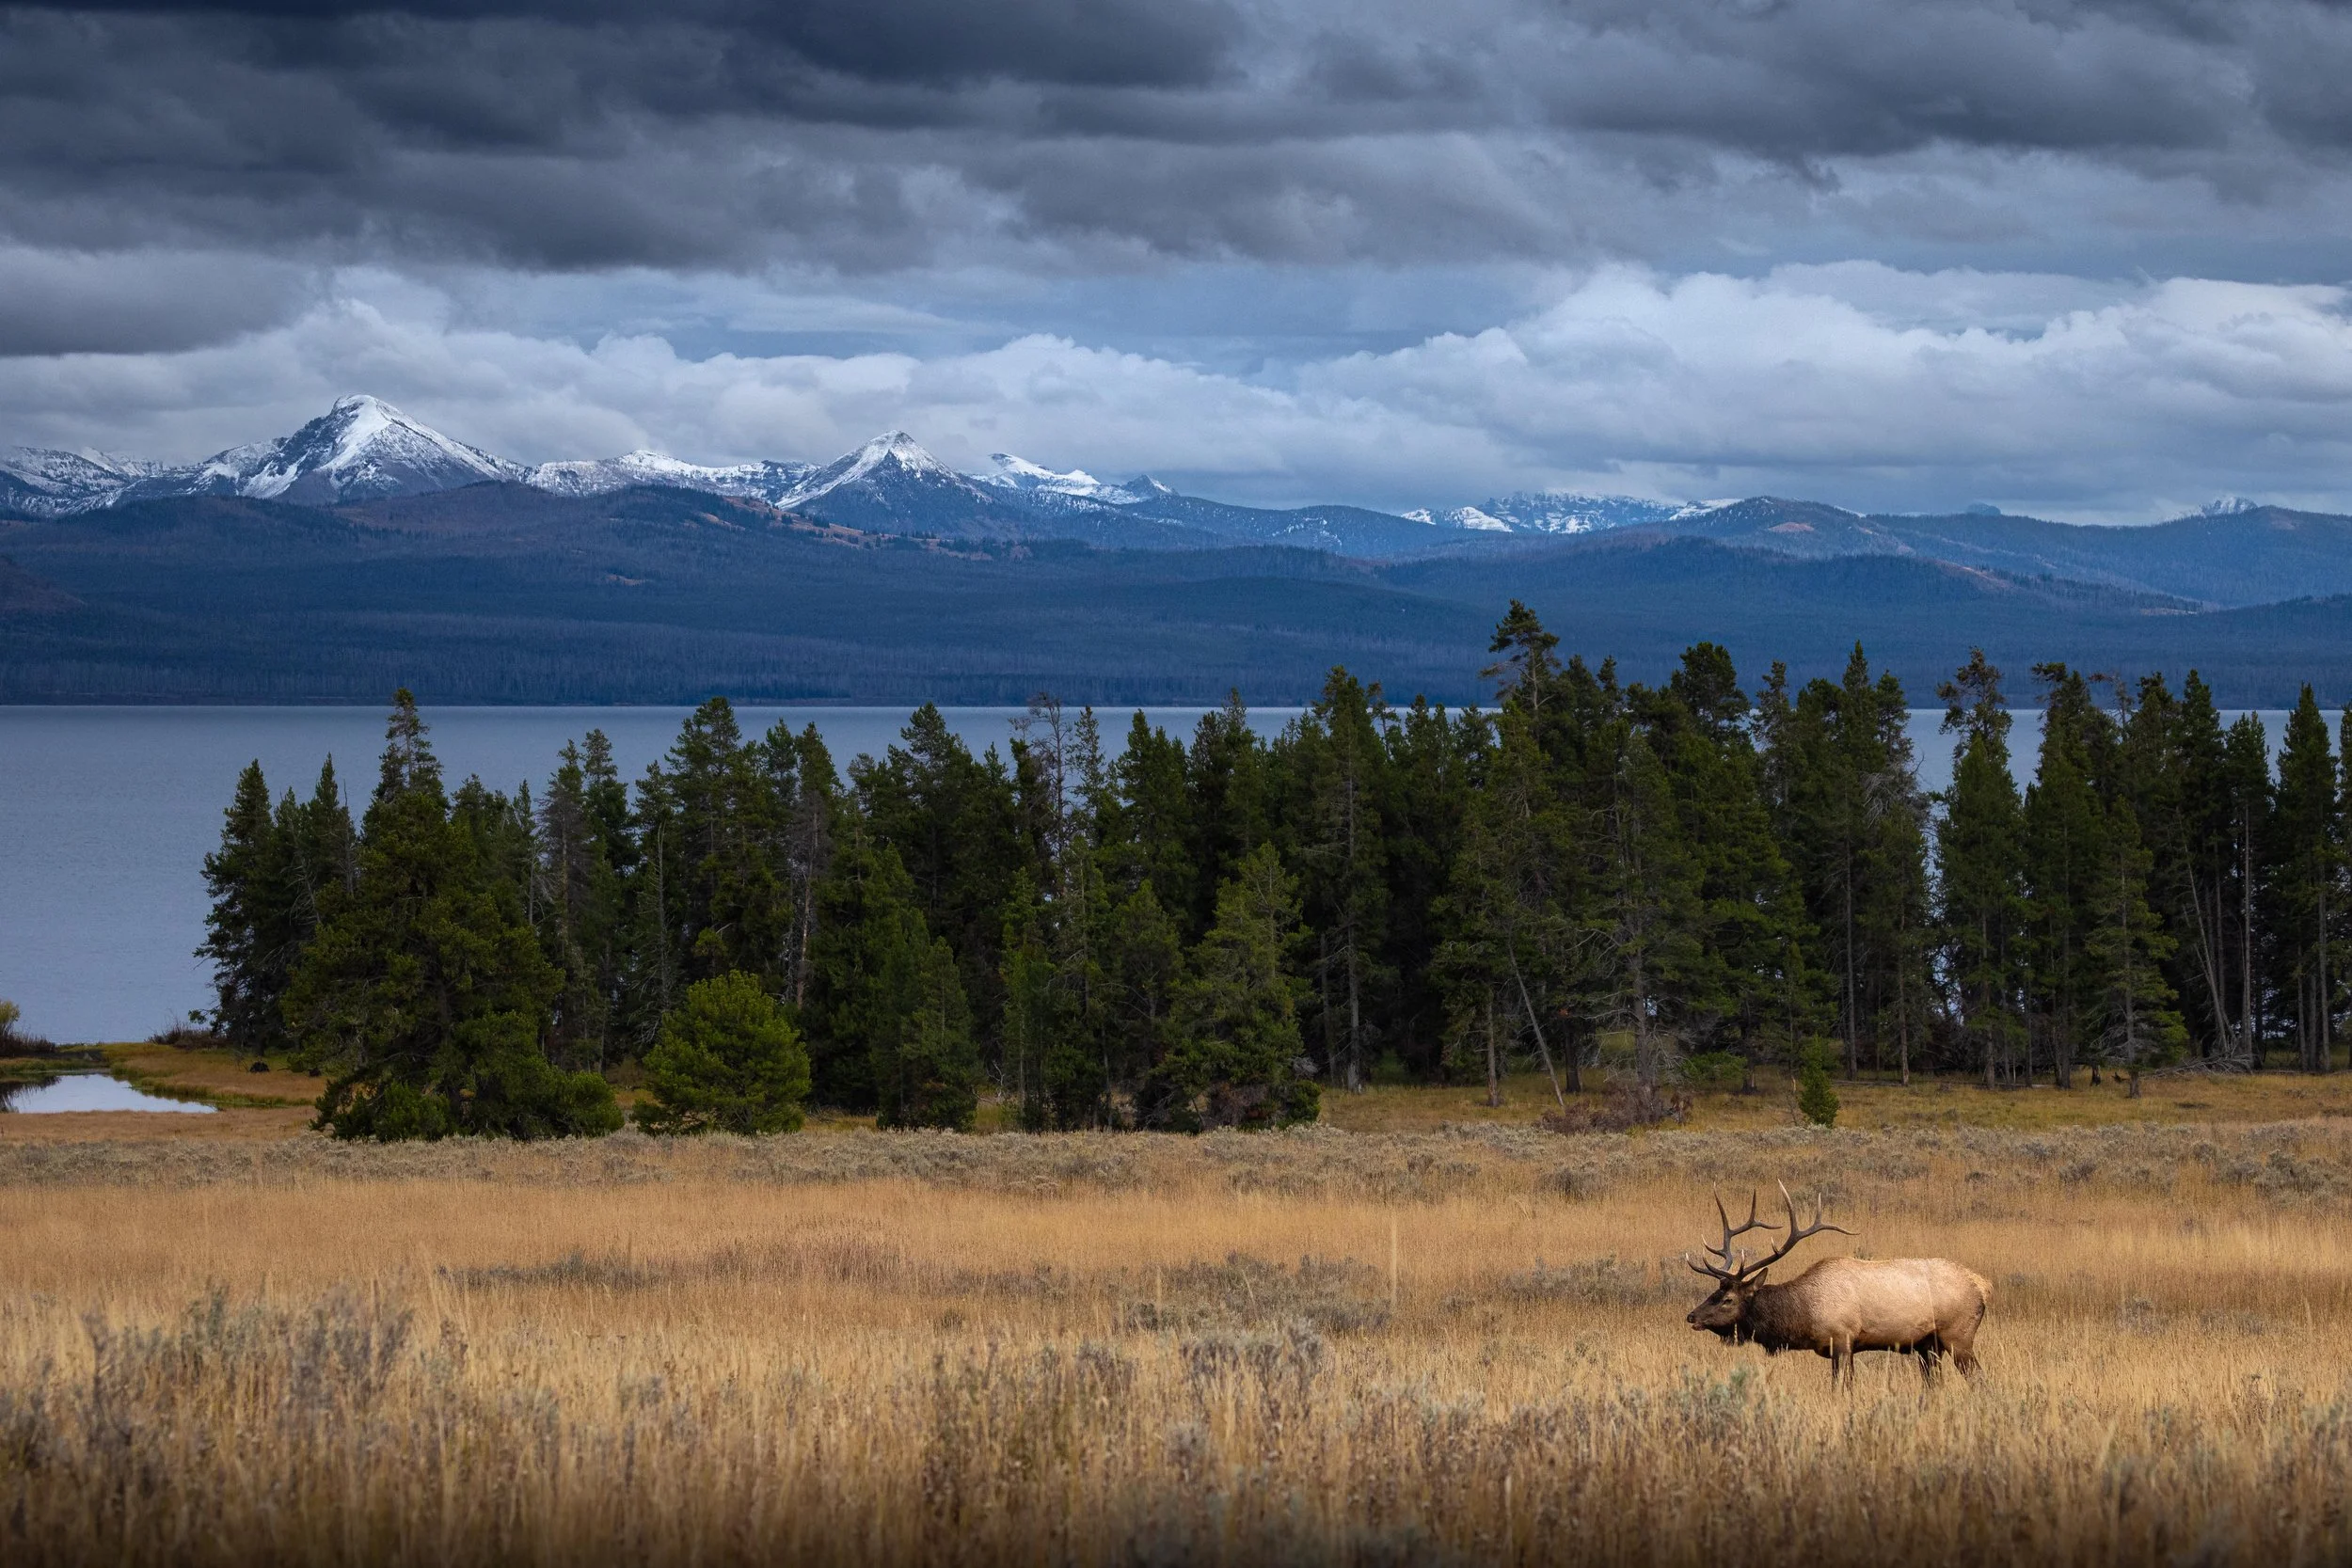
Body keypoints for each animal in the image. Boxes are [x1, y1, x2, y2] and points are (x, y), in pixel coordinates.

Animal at [1684, 1184, 1992, 1387]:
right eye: (1713, 1293)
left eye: (1728, 1300)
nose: (1692, 1317)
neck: (1803, 1315)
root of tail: (1984, 1286)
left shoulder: (1843, 1340)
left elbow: (1841, 1387)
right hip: (1929, 1346)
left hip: (1958, 1336)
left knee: (1979, 1379)